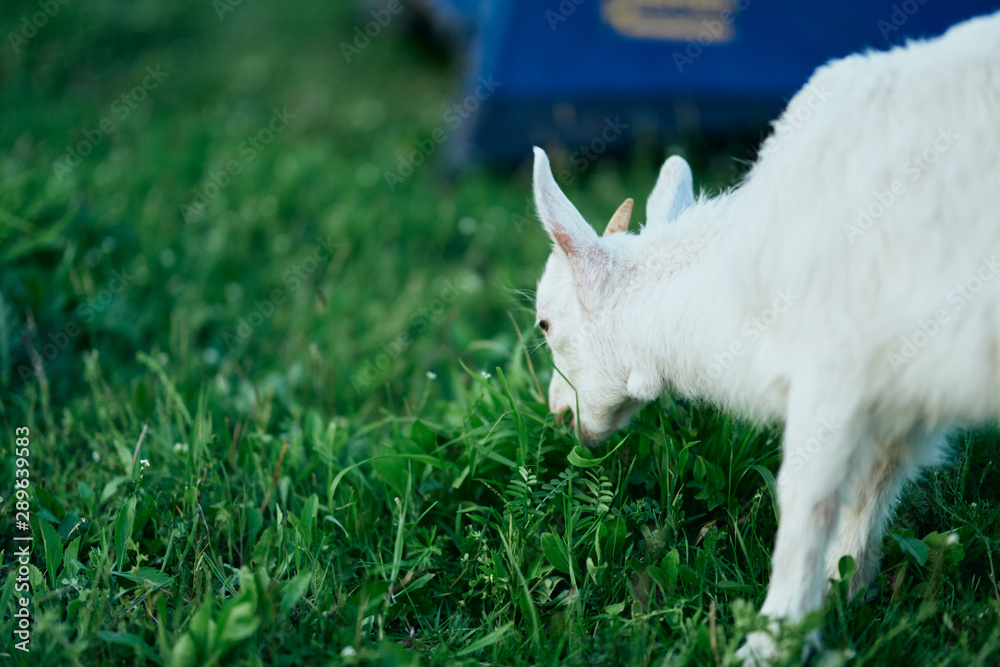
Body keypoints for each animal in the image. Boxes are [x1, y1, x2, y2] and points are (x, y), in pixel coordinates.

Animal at [529, 11, 1000, 664]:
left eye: (545, 324)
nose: (557, 415)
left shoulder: (835, 364)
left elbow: (808, 501)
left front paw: (772, 639)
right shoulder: (901, 389)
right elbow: (871, 488)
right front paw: (844, 591)